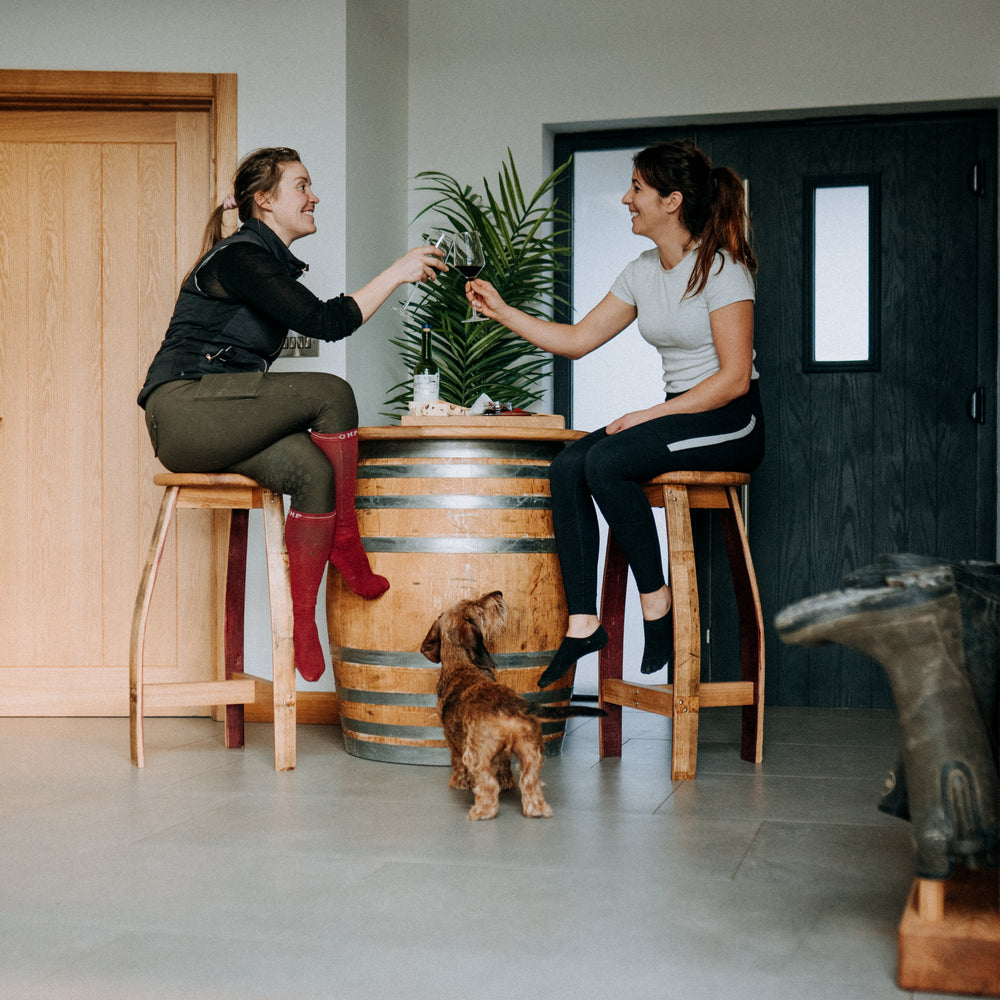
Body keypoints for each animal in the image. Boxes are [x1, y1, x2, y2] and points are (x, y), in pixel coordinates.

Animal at [420, 592, 604, 820]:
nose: (498, 593)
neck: (461, 664)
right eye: (477, 607)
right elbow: (505, 769)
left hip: (477, 756)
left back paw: (481, 811)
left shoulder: (451, 738)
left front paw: (458, 782)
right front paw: (506, 783)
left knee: (488, 786)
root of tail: (511, 705)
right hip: (530, 752)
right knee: (529, 783)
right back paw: (537, 809)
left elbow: (457, 762)